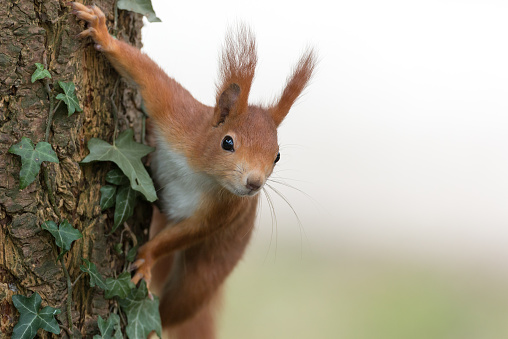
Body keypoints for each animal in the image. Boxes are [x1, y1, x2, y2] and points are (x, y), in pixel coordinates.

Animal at [70, 3, 318, 339]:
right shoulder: (177, 114)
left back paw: (151, 325)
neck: (200, 170)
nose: (254, 183)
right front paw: (102, 33)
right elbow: (147, 75)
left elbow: (188, 232)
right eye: (227, 142)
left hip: (205, 275)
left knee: (174, 309)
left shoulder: (225, 209)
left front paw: (146, 259)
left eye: (277, 156)